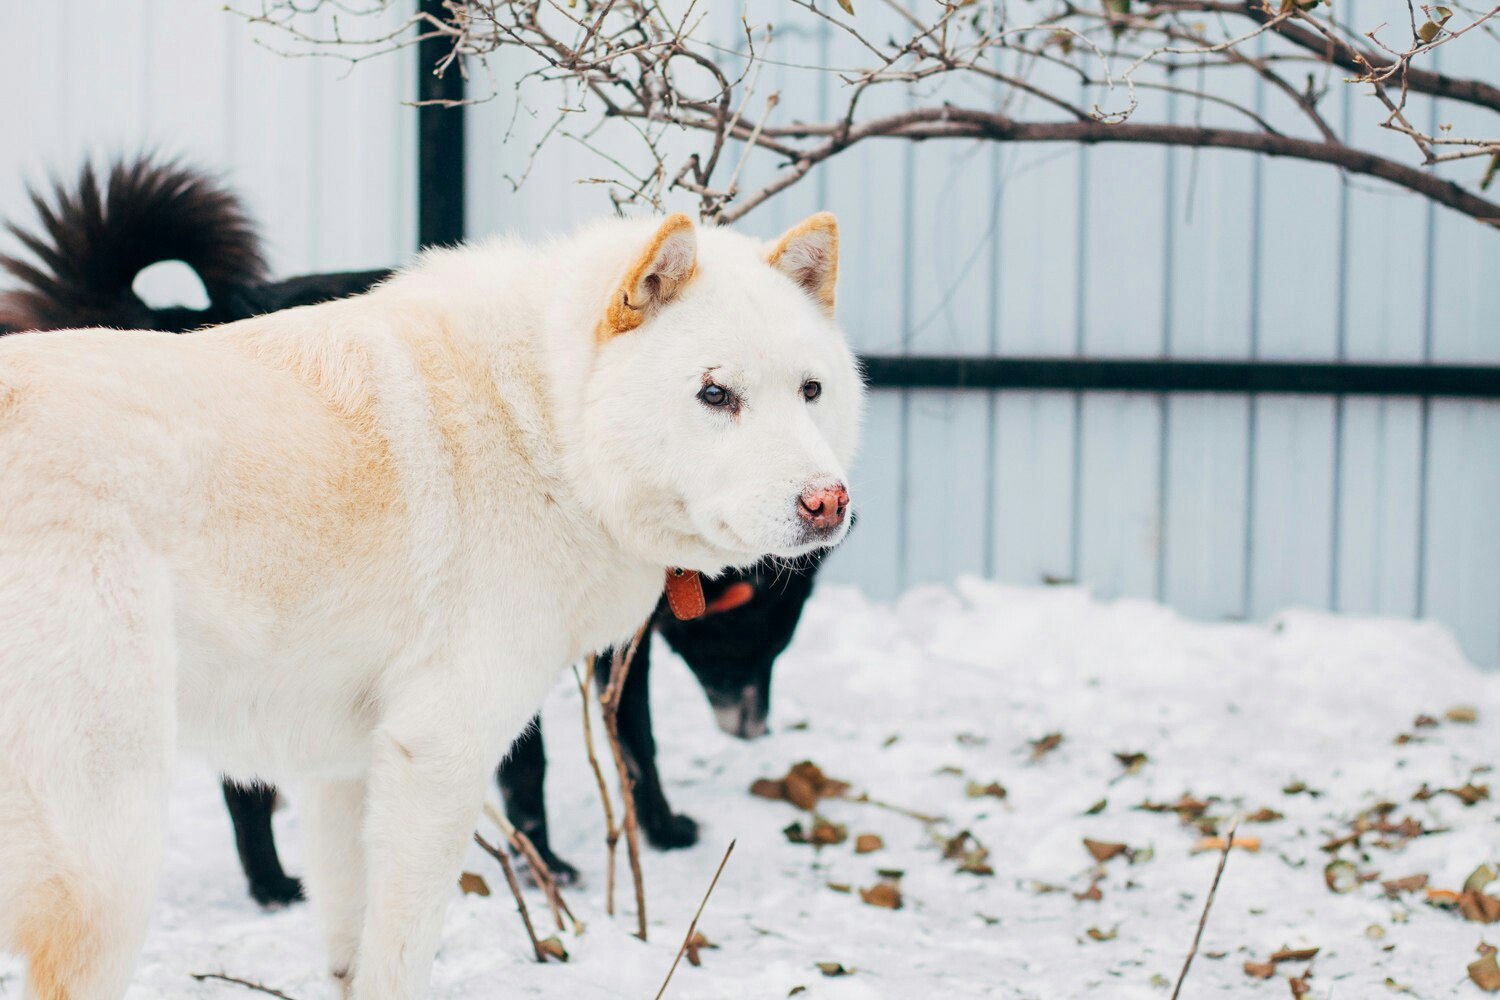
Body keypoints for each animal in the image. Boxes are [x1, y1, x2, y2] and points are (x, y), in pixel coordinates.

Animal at [0, 215, 864, 995]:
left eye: (811, 391)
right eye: (715, 394)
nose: (829, 503)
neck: (544, 426)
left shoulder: (341, 770)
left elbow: (349, 957)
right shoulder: (440, 753)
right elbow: (402, 957)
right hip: (109, 858)